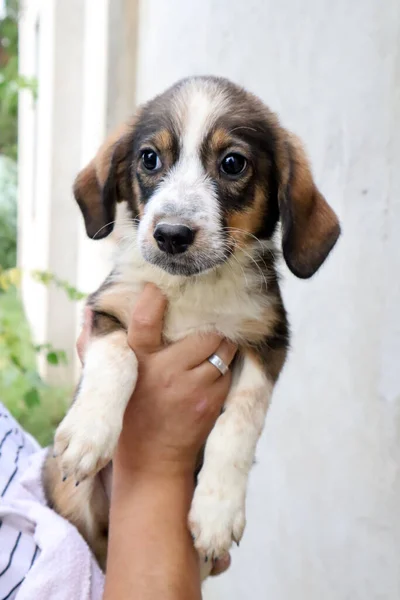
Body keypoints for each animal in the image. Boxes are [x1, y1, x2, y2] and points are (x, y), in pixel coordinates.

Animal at [43, 76, 340, 576]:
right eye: (149, 158)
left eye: (233, 163)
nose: (171, 235)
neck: (193, 289)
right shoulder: (109, 307)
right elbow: (118, 358)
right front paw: (88, 432)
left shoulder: (266, 340)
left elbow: (240, 421)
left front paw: (218, 510)